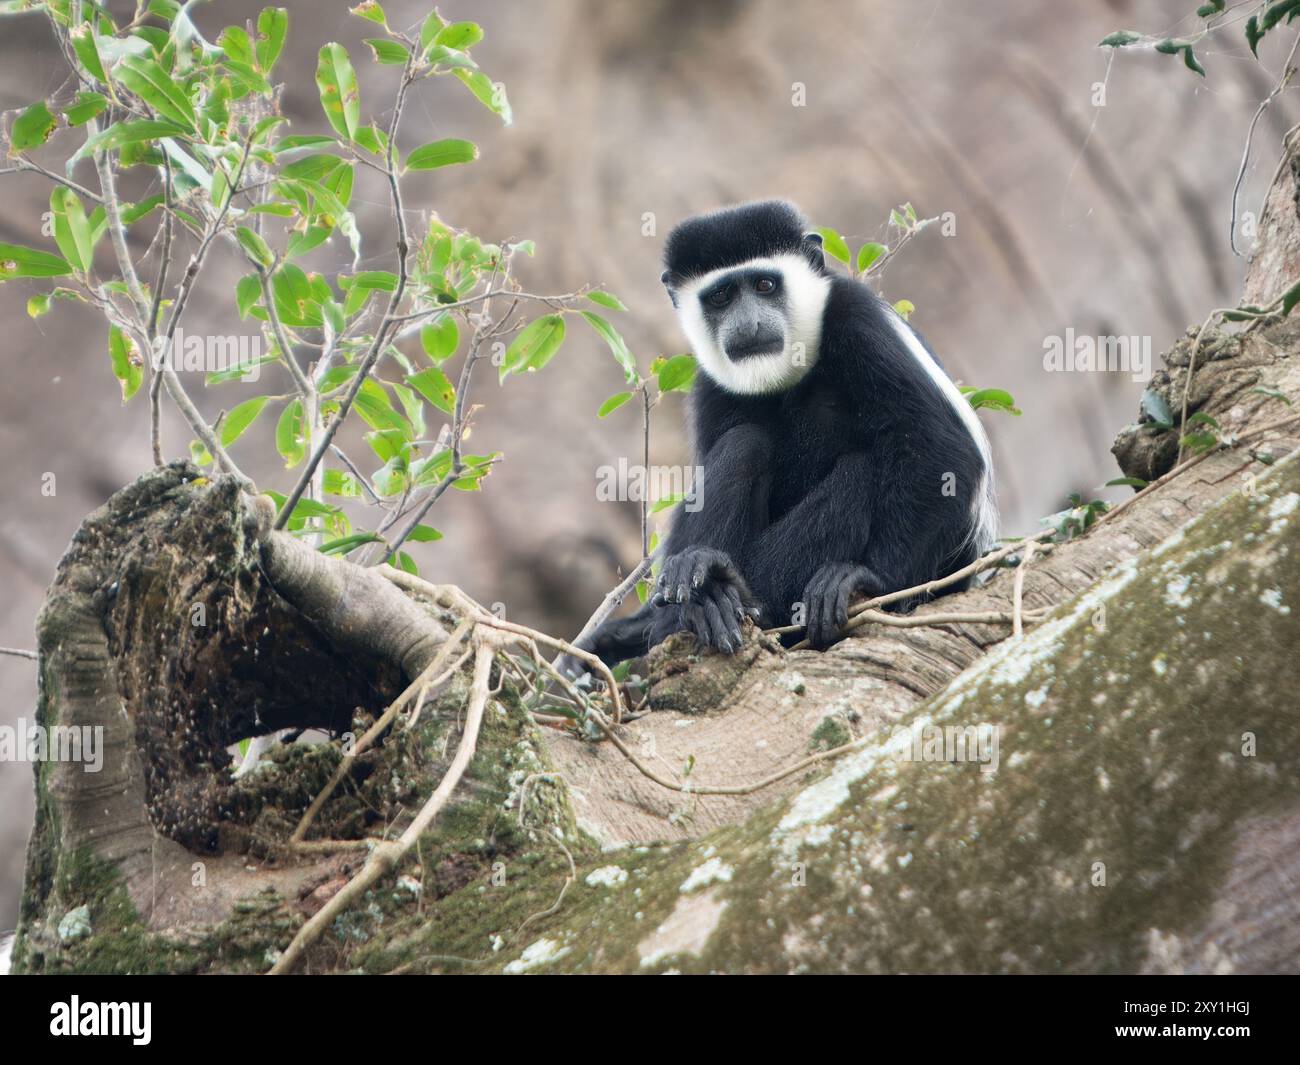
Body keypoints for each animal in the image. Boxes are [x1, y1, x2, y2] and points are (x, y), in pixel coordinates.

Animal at [567, 199, 997, 670]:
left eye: (765, 284)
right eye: (721, 296)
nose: (748, 323)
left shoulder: (859, 319)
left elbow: (939, 447)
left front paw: (872, 579)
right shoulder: (710, 386)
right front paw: (627, 630)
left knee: (863, 469)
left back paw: (744, 592)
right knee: (743, 445)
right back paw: (701, 604)